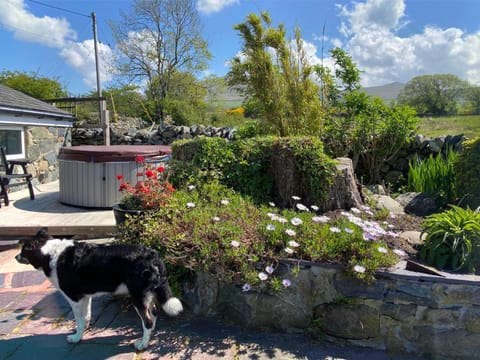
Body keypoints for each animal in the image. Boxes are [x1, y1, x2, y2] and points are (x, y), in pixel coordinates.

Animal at [15, 229, 183, 350]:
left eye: (23, 250)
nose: (16, 256)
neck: (50, 253)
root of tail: (152, 255)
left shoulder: (74, 298)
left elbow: (79, 319)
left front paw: (77, 337)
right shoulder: (85, 297)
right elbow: (86, 317)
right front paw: (83, 331)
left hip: (137, 296)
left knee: (147, 321)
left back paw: (143, 344)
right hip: (146, 294)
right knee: (153, 314)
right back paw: (148, 336)